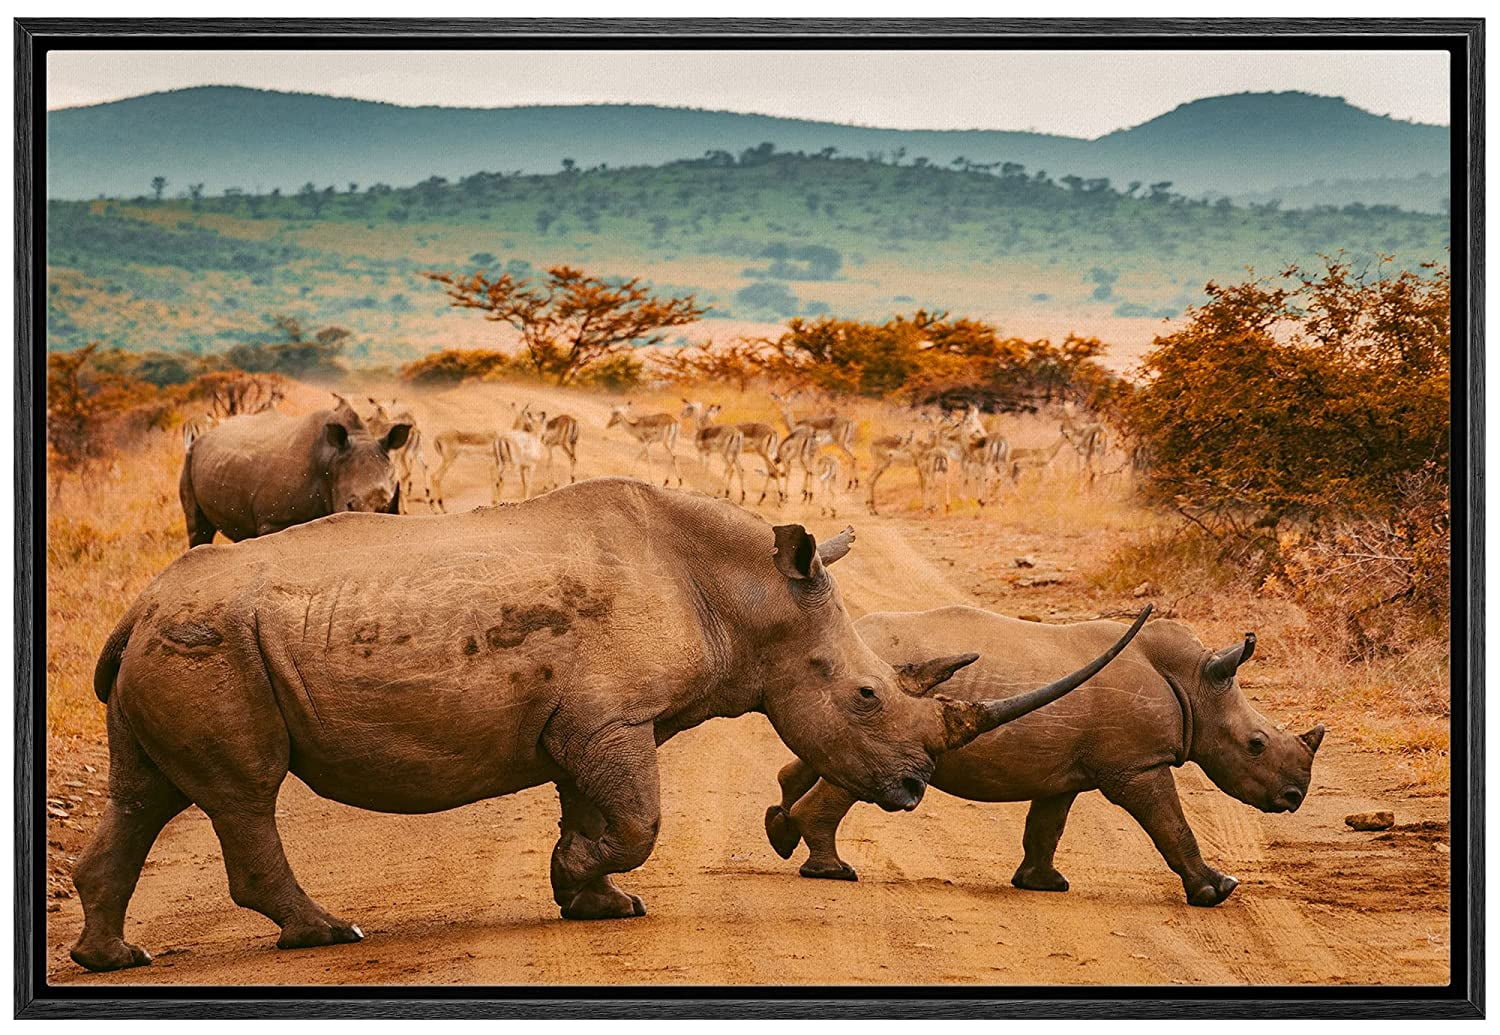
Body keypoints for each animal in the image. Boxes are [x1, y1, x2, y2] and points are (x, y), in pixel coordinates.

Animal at [71, 479, 1148, 971]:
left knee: (144, 794)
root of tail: (137, 605)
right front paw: (588, 881)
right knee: (244, 793)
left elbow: (595, 810)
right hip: (213, 642)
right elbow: (637, 821)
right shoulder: (612, 718)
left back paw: (113, 958)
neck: (747, 595)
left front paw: (592, 900)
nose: (915, 790)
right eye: (867, 697)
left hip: (178, 639)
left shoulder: (594, 721)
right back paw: (328, 933)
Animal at [178, 394, 411, 546]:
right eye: (350, 505)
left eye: (387, 505)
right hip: (190, 457)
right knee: (198, 529)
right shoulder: (274, 520)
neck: (331, 461)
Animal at [765, 607, 1324, 907]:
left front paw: (1043, 885)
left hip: (854, 695)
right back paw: (834, 872)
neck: (1196, 684)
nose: (1295, 796)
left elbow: (1047, 826)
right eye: (1255, 744)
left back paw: (782, 833)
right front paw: (1218, 890)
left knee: (821, 756)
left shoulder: (1066, 770)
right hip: (876, 702)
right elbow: (1172, 825)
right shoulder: (1137, 766)